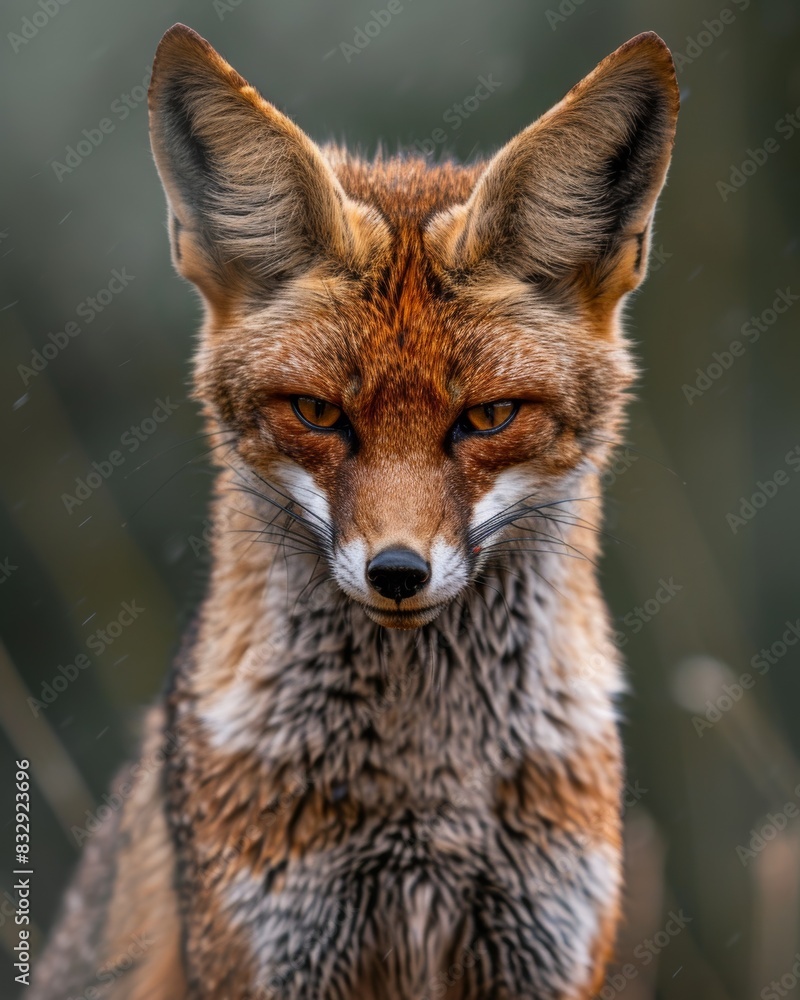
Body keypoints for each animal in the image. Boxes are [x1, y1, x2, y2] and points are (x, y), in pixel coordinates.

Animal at [29, 22, 678, 1000]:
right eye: (318, 413)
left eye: (488, 417)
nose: (398, 573)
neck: (429, 790)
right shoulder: (275, 948)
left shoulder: (540, 949)